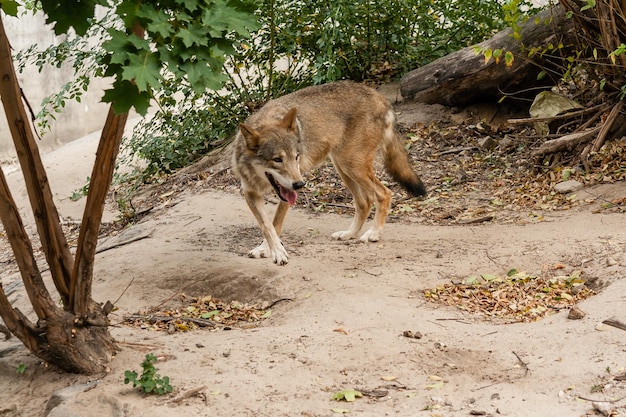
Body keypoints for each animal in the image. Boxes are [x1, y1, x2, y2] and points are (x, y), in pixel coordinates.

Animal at [232, 79, 426, 264]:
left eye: (296, 156)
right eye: (277, 160)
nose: (300, 184)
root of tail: (380, 98)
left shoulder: (286, 194)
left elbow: (275, 222)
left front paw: (272, 251)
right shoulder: (250, 193)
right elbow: (266, 226)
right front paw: (270, 249)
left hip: (351, 166)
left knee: (384, 193)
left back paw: (374, 233)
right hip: (342, 168)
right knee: (364, 202)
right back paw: (349, 234)